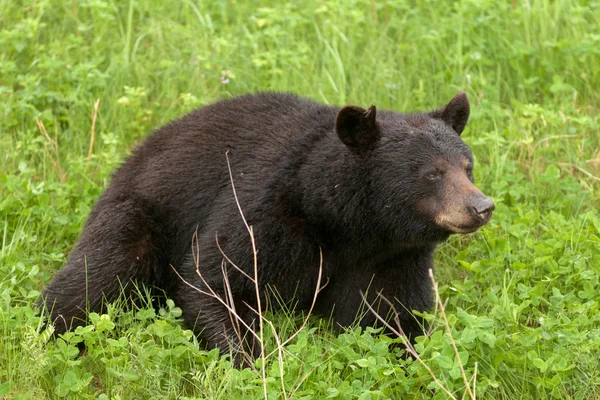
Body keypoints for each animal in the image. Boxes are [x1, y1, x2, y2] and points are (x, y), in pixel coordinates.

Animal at [39, 93, 494, 356]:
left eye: (466, 166)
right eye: (432, 173)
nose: (482, 206)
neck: (347, 224)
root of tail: (131, 158)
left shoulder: (394, 257)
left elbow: (394, 315)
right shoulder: (263, 213)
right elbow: (215, 279)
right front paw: (248, 356)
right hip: (137, 216)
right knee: (96, 278)